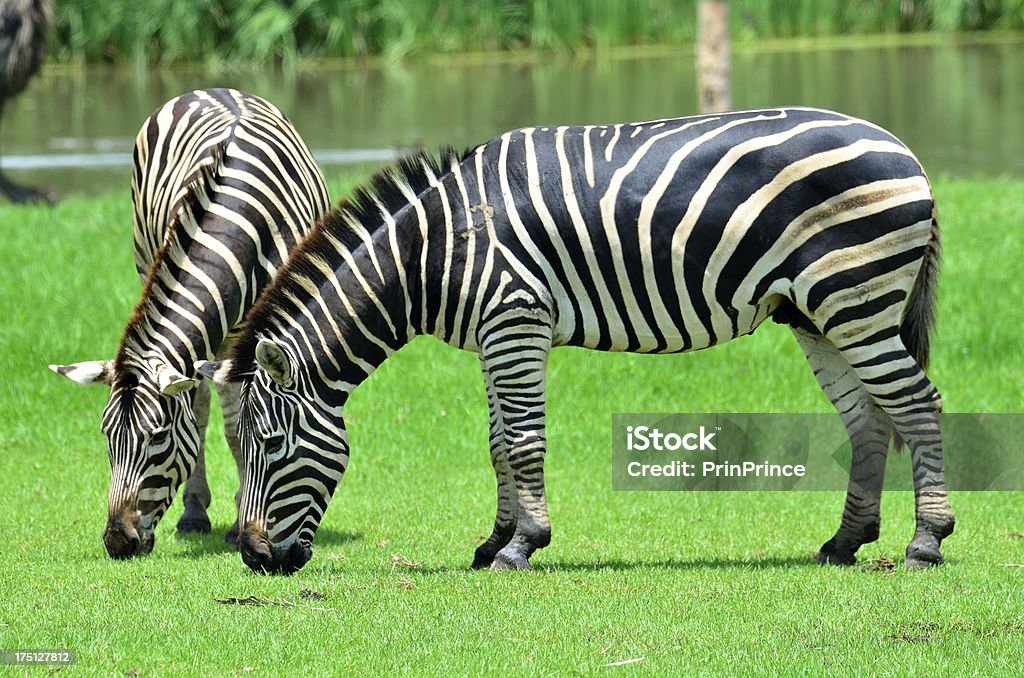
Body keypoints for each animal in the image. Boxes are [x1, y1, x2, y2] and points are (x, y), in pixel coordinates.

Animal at [48, 87, 327, 561]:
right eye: (106, 437)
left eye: (158, 436)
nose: (118, 542)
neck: (234, 233)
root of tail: (215, 89)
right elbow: (199, 416)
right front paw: (201, 512)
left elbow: (239, 426)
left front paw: (239, 523)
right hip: (147, 260)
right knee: (198, 406)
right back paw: (194, 511)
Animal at [197, 106, 950, 573]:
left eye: (272, 445)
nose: (255, 560)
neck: (432, 252)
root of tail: (904, 148)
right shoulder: (493, 335)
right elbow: (498, 444)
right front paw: (493, 540)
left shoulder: (516, 320)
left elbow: (525, 443)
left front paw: (521, 546)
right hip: (817, 312)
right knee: (869, 419)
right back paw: (845, 542)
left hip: (854, 296)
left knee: (917, 406)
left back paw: (925, 543)